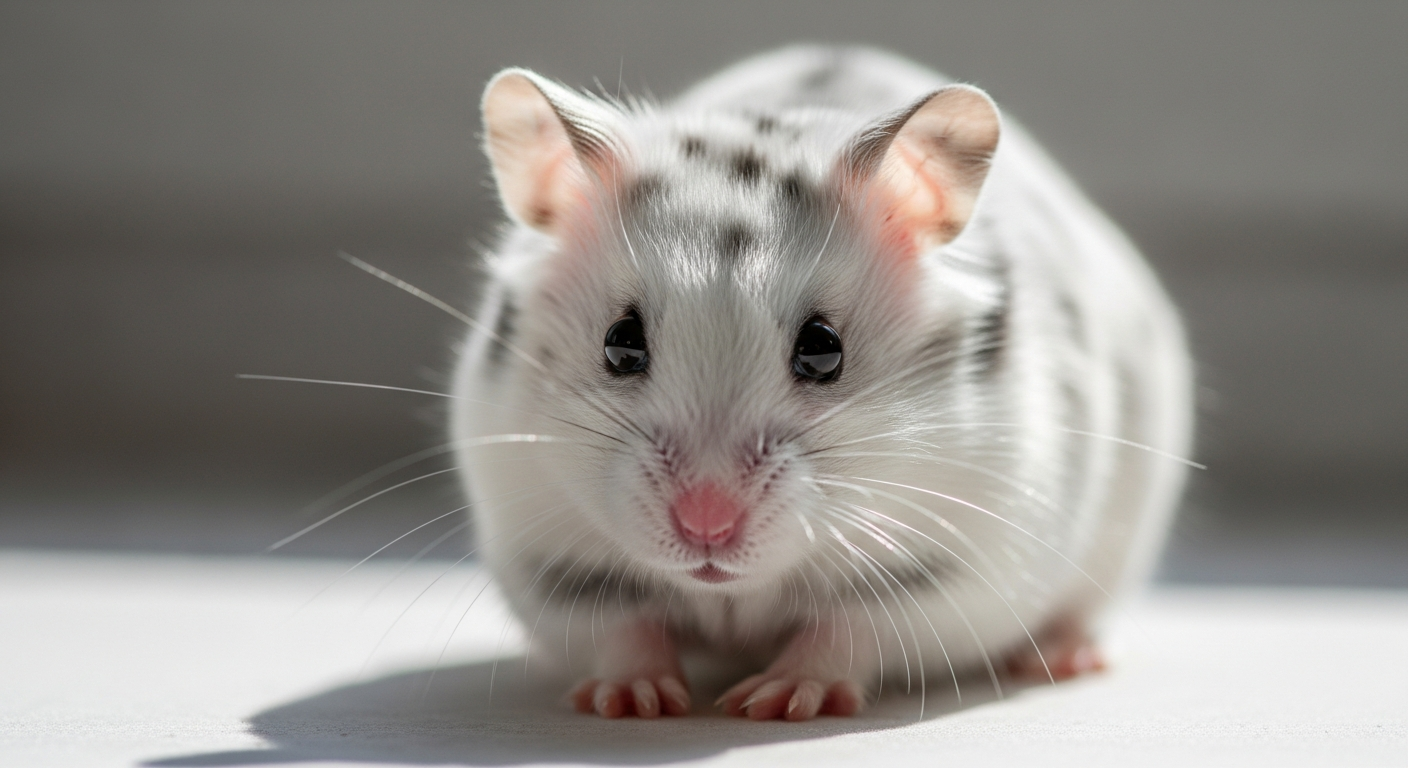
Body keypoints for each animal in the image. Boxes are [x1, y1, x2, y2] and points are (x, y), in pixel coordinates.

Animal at [451, 45, 1192, 721]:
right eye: (620, 342)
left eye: (822, 351)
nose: (707, 527)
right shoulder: (552, 565)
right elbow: (626, 627)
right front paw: (631, 702)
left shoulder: (948, 571)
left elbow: (845, 629)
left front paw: (773, 702)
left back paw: (1068, 660)